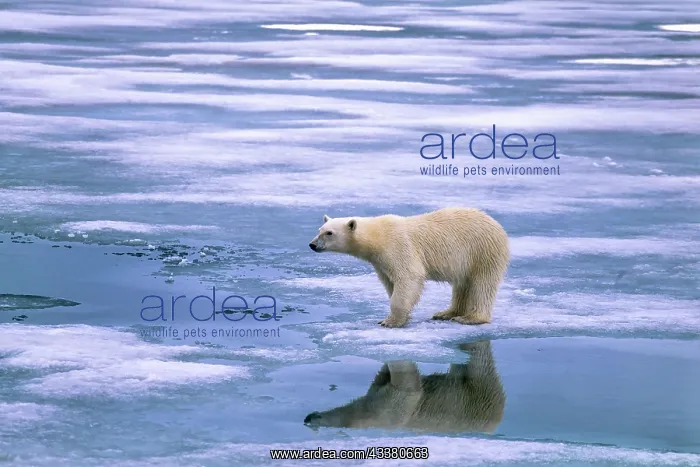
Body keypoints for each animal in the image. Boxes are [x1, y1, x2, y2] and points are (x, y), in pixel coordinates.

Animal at [304, 340, 505, 433]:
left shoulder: (395, 407)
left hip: (478, 398)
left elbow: (408, 384)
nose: (309, 416)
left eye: (319, 417)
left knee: (478, 363)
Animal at [308, 207, 509, 328]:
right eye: (319, 230)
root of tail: (498, 226)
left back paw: (470, 318)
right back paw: (446, 313)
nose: (312, 245)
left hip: (482, 251)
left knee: (482, 284)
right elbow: (390, 283)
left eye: (329, 233)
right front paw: (402, 317)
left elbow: (408, 277)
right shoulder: (380, 262)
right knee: (462, 284)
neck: (378, 236)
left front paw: (390, 321)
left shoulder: (399, 247)